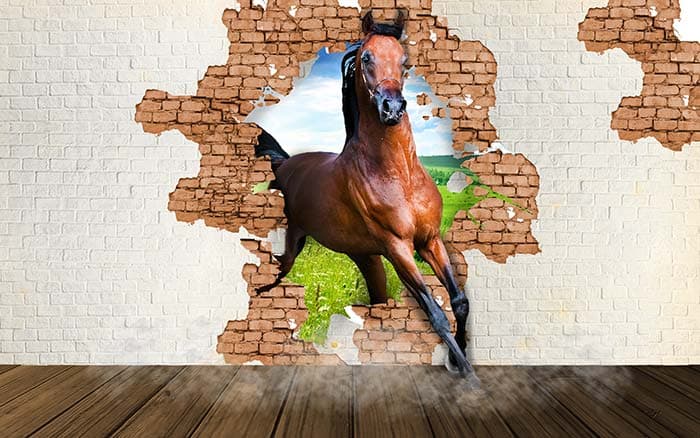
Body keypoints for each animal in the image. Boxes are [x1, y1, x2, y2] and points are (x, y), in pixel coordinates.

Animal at [254, 11, 479, 387]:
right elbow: (435, 313)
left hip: (366, 258)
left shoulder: (430, 240)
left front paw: (456, 357)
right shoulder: (398, 248)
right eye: (367, 58)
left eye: (404, 60)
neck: (399, 175)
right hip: (295, 243)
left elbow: (459, 301)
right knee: (277, 273)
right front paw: (466, 372)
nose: (392, 108)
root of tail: (284, 163)